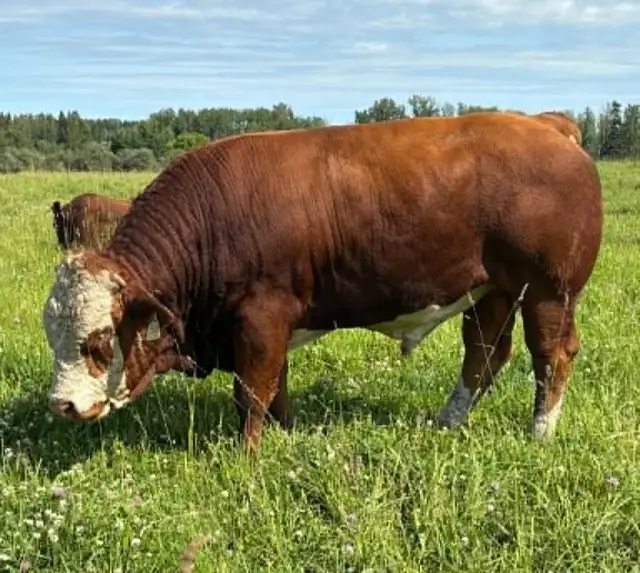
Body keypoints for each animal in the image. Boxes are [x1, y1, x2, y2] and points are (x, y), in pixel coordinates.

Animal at [41, 111, 603, 455]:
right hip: (491, 291)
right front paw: (287, 437)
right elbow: (277, 389)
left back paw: (540, 431)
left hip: (549, 292)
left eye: (98, 340)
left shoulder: (260, 318)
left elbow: (252, 393)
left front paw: (247, 457)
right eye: (53, 336)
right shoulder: (271, 325)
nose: (61, 405)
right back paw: (447, 422)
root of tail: (547, 124)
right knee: (484, 353)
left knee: (550, 356)